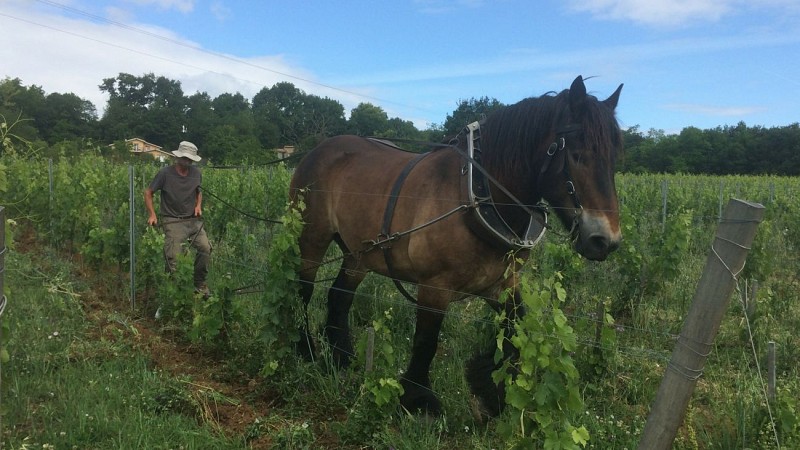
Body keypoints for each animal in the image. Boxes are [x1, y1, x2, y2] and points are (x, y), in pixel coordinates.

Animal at [288, 75, 624, 416]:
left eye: (614, 159)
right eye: (577, 154)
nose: (605, 241)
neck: (477, 195)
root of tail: (320, 149)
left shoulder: (501, 283)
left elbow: (516, 331)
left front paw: (490, 388)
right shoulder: (434, 286)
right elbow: (427, 341)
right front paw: (418, 400)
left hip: (359, 253)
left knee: (339, 297)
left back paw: (342, 358)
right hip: (311, 237)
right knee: (303, 291)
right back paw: (306, 349)